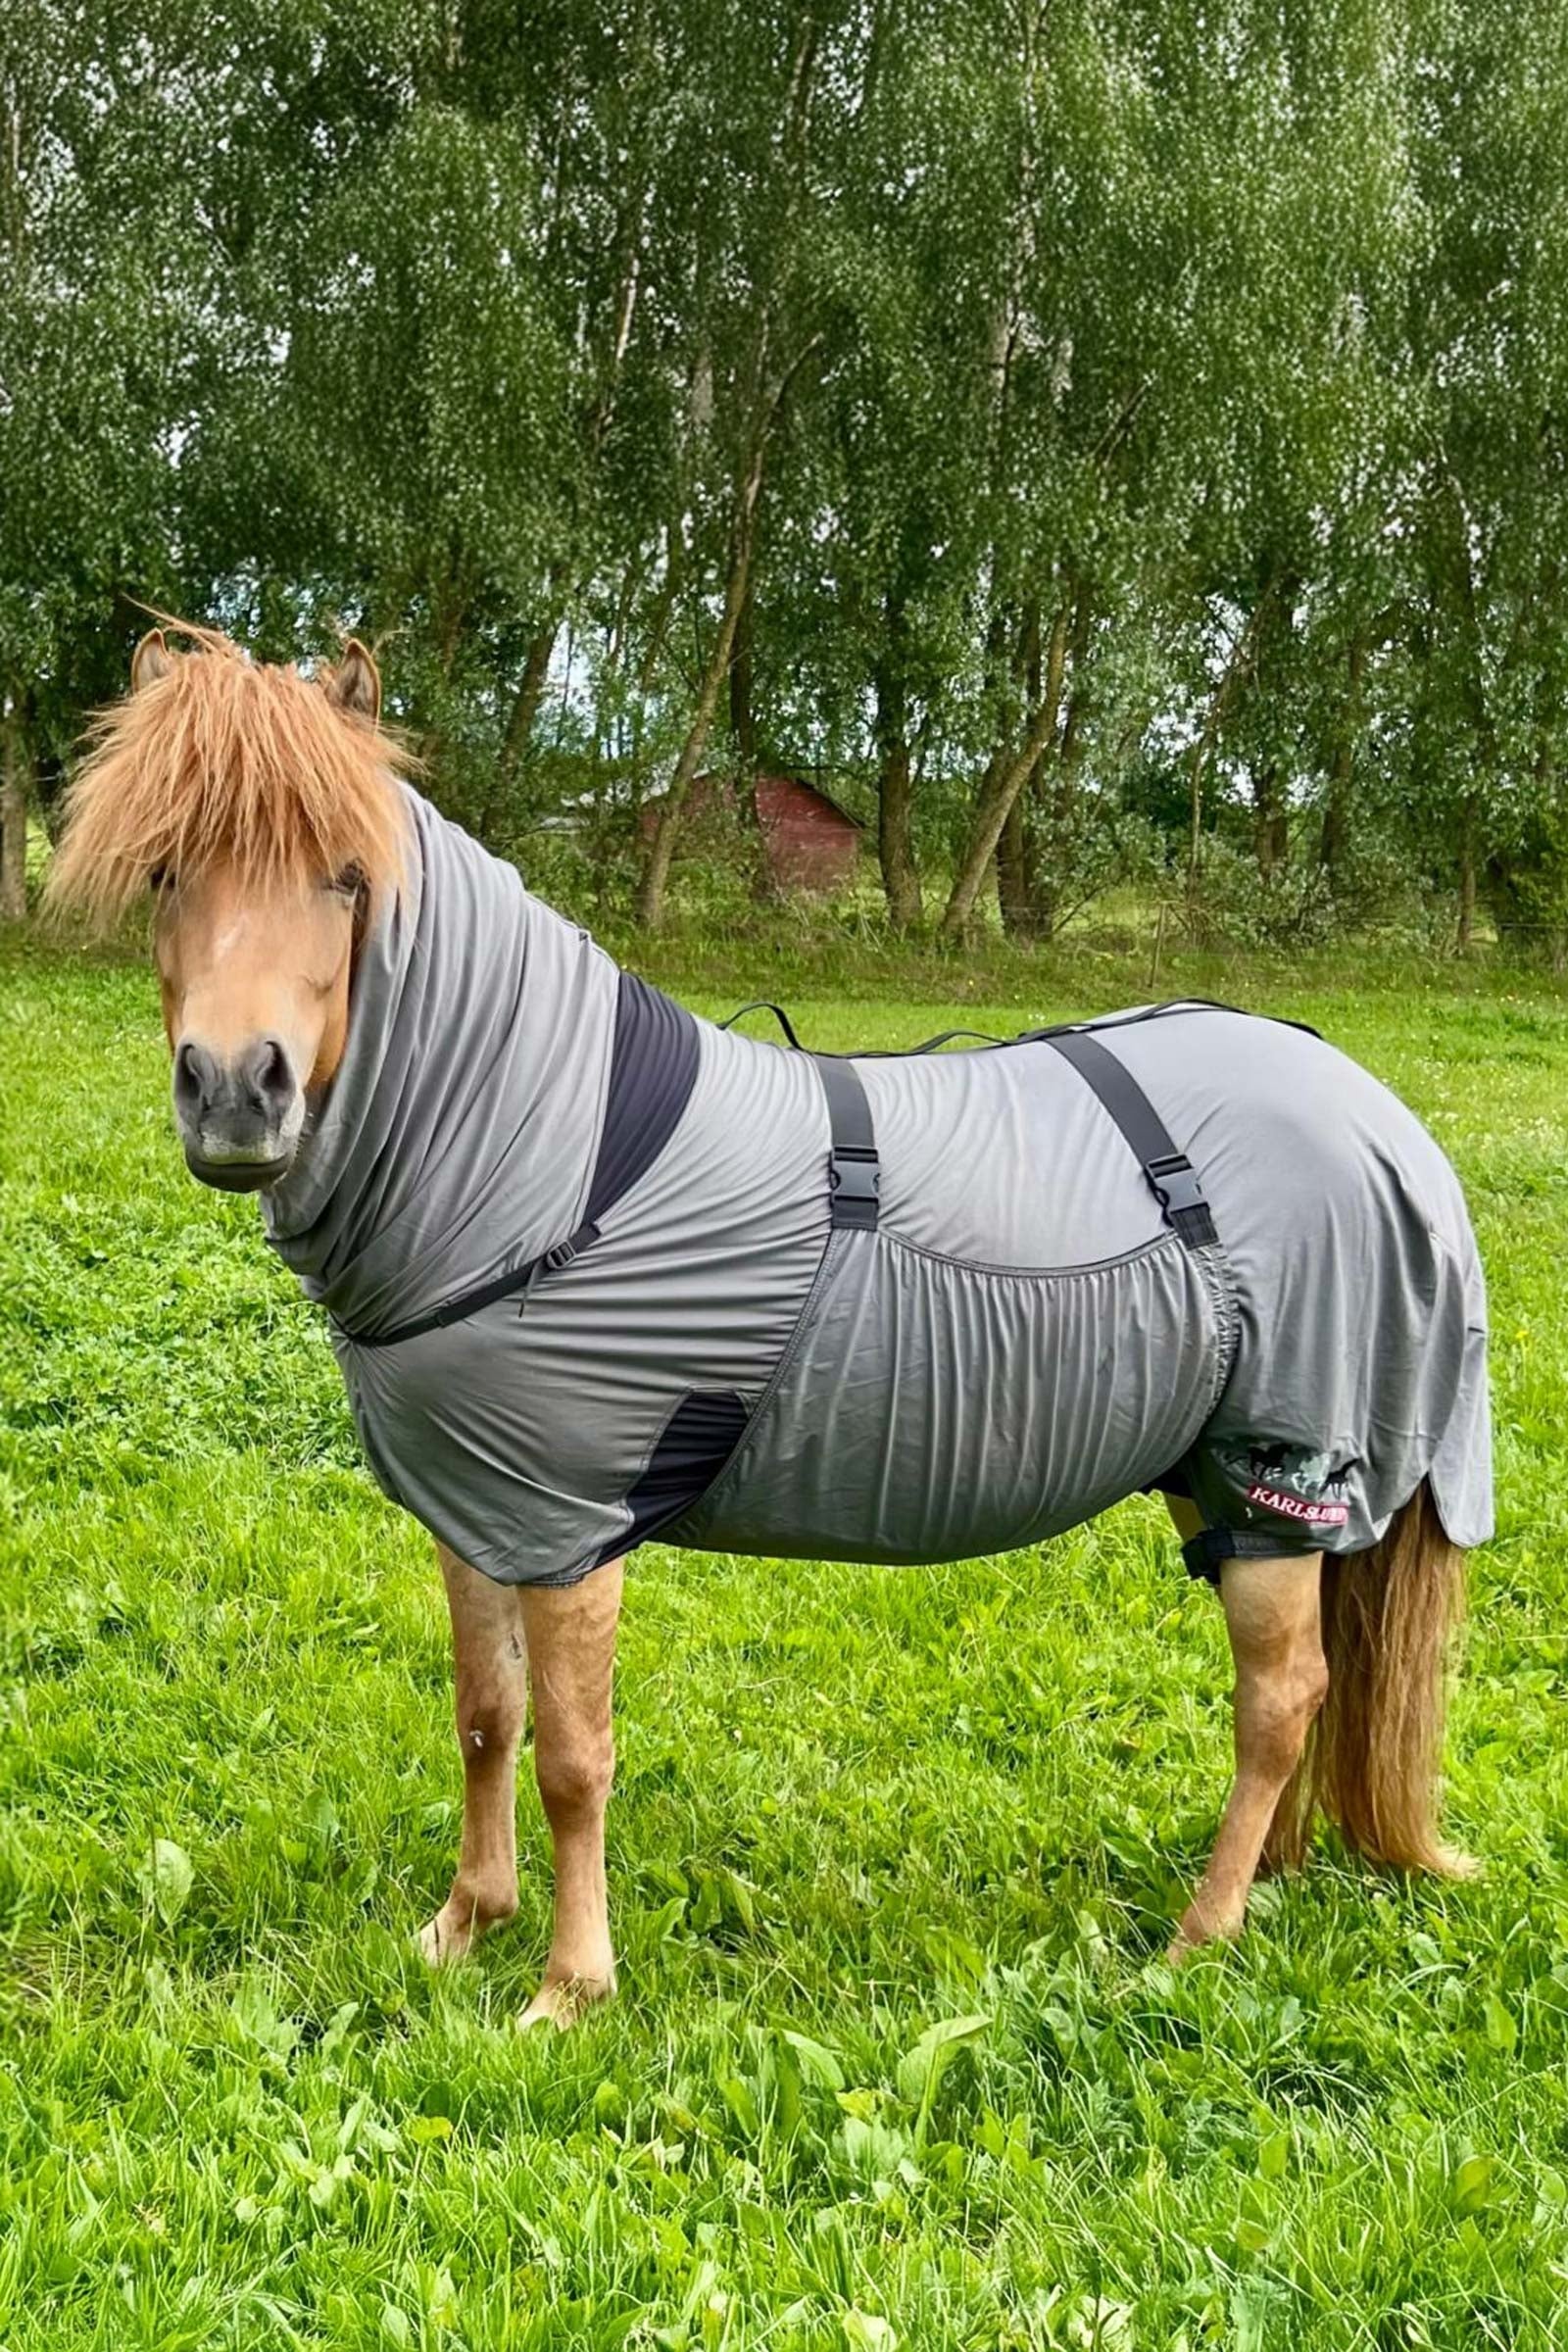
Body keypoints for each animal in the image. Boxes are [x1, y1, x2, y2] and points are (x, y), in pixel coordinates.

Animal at [46, 625, 1490, 2029]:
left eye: (348, 877)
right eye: (165, 871)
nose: (237, 1094)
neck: (561, 1166)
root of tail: (1368, 1107)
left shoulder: (570, 1528)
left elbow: (574, 1759)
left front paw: (569, 1989)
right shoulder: (480, 1510)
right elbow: (485, 1719)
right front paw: (463, 1930)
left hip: (1275, 1472)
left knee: (1280, 1701)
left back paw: (1199, 1936)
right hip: (1215, 1480)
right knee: (1301, 1697)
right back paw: (1267, 1885)